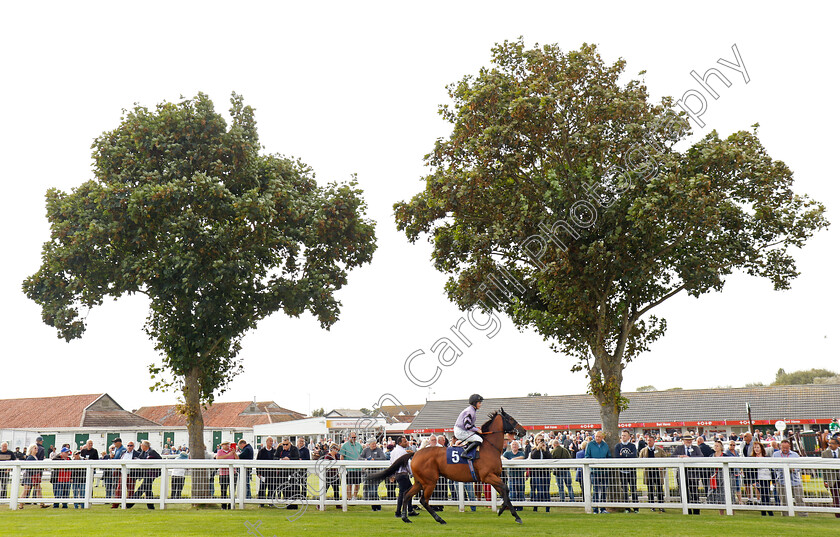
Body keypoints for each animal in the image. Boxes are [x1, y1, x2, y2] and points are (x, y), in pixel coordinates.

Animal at [366, 408, 524, 520]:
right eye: (511, 418)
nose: (523, 430)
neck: (489, 447)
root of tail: (415, 453)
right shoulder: (488, 476)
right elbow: (505, 489)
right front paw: (516, 516)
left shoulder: (493, 476)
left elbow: (504, 491)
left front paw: (504, 509)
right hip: (430, 481)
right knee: (423, 500)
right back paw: (439, 519)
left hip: (420, 481)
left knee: (406, 494)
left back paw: (405, 517)